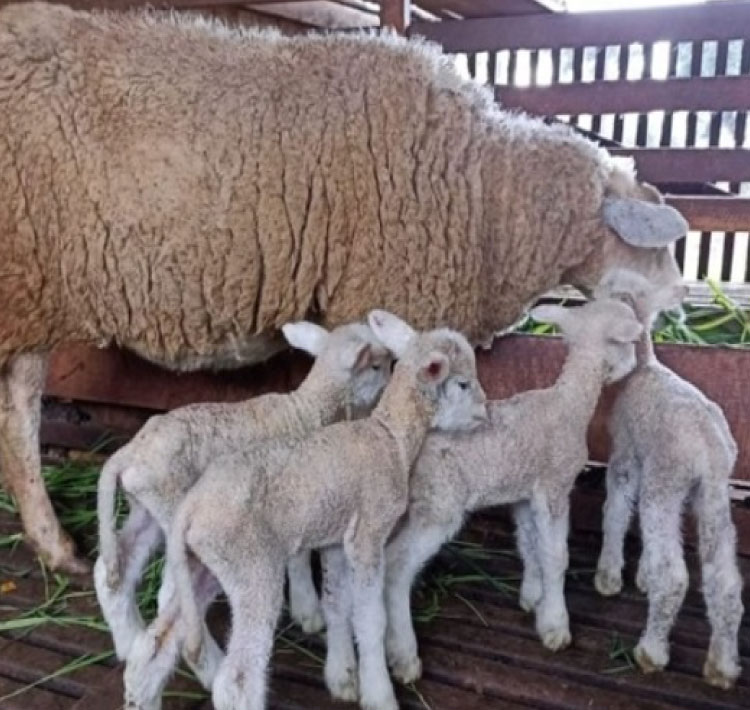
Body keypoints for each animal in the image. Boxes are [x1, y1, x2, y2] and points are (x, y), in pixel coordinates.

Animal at [92, 318, 394, 660]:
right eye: (376, 366)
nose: (394, 375)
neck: (308, 410)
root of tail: (128, 454)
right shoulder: (295, 495)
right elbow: (299, 557)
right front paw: (308, 609)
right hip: (173, 510)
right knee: (170, 594)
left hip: (147, 507)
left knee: (112, 570)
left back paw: (128, 643)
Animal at [129, 314, 490, 710]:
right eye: (462, 383)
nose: (484, 413)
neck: (389, 436)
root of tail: (191, 508)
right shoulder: (368, 535)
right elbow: (370, 619)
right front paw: (379, 693)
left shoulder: (336, 540)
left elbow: (338, 603)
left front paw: (344, 673)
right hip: (253, 571)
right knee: (236, 682)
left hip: (202, 567)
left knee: (154, 646)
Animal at [376, 298, 648, 688]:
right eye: (628, 342)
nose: (632, 366)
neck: (570, 404)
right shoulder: (553, 487)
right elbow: (555, 556)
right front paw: (555, 624)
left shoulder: (524, 494)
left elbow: (529, 545)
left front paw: (532, 597)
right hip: (438, 506)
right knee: (397, 566)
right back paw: (403, 656)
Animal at [592, 272, 748, 688]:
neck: (646, 365)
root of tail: (706, 447)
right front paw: (642, 574)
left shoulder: (628, 456)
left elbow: (616, 511)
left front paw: (609, 574)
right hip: (712, 497)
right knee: (725, 582)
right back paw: (722, 665)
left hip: (666, 482)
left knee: (676, 576)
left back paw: (651, 651)